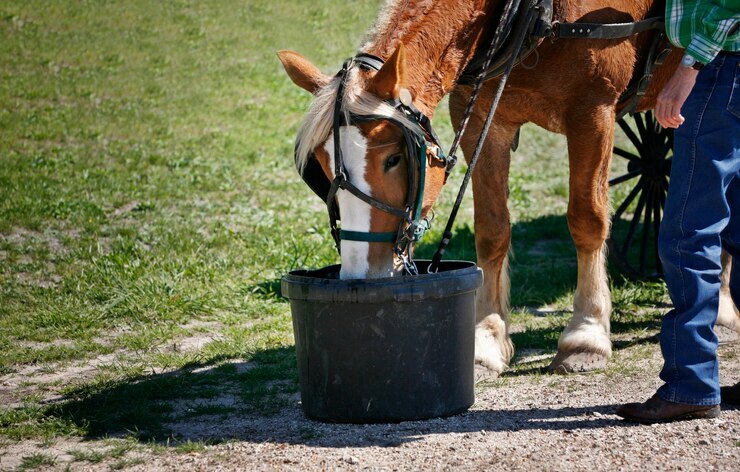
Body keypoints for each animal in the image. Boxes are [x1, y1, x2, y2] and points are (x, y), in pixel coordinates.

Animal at [277, 0, 740, 377]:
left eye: (393, 158)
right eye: (322, 167)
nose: (361, 275)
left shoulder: (593, 110)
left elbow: (587, 220)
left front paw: (586, 336)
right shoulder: (482, 114)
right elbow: (492, 229)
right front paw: (485, 340)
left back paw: (719, 309)